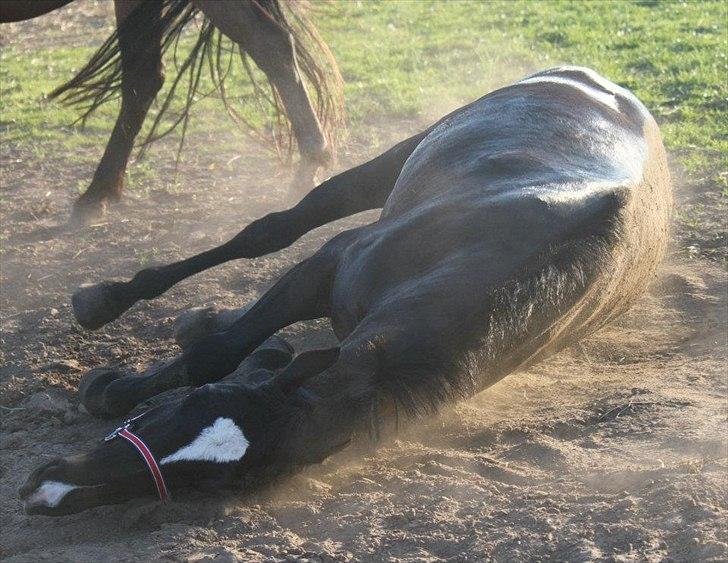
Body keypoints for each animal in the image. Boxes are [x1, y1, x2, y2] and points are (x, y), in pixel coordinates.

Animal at [21, 66, 672, 516]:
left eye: (213, 481)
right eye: (186, 406)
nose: (48, 491)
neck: (509, 258)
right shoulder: (327, 265)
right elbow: (220, 352)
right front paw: (115, 389)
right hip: (389, 163)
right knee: (274, 229)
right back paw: (106, 300)